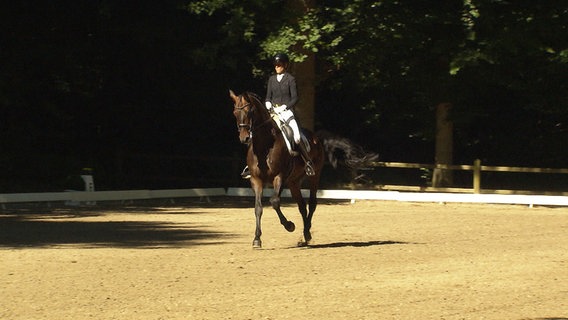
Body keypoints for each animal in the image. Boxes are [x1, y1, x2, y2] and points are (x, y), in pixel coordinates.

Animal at [231, 89, 378, 249]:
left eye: (249, 111)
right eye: (234, 112)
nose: (244, 138)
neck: (265, 146)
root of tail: (316, 137)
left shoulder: (279, 176)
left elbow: (274, 201)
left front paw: (290, 226)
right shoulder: (256, 180)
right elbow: (258, 208)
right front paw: (257, 239)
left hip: (314, 175)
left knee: (312, 203)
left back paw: (307, 233)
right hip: (293, 182)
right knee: (302, 206)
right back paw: (305, 234)